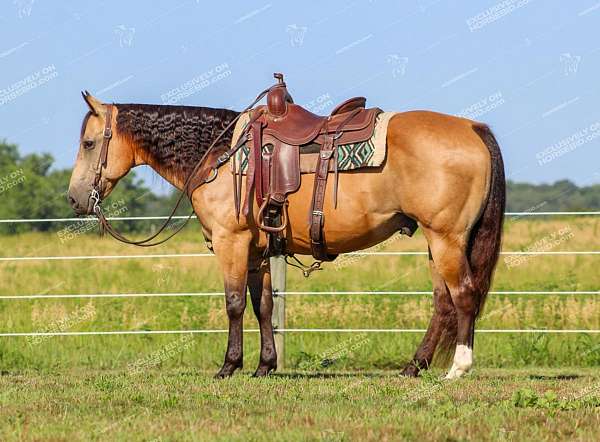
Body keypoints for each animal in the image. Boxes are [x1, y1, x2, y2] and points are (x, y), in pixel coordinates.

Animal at [68, 77, 504, 378]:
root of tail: (472, 127)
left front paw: (228, 366)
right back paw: (414, 366)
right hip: (437, 242)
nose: (74, 199)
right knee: (444, 302)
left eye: (88, 143)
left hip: (446, 239)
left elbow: (233, 303)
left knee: (464, 295)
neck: (219, 154)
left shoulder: (231, 241)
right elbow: (262, 305)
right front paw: (264, 365)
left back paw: (457, 368)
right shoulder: (258, 250)